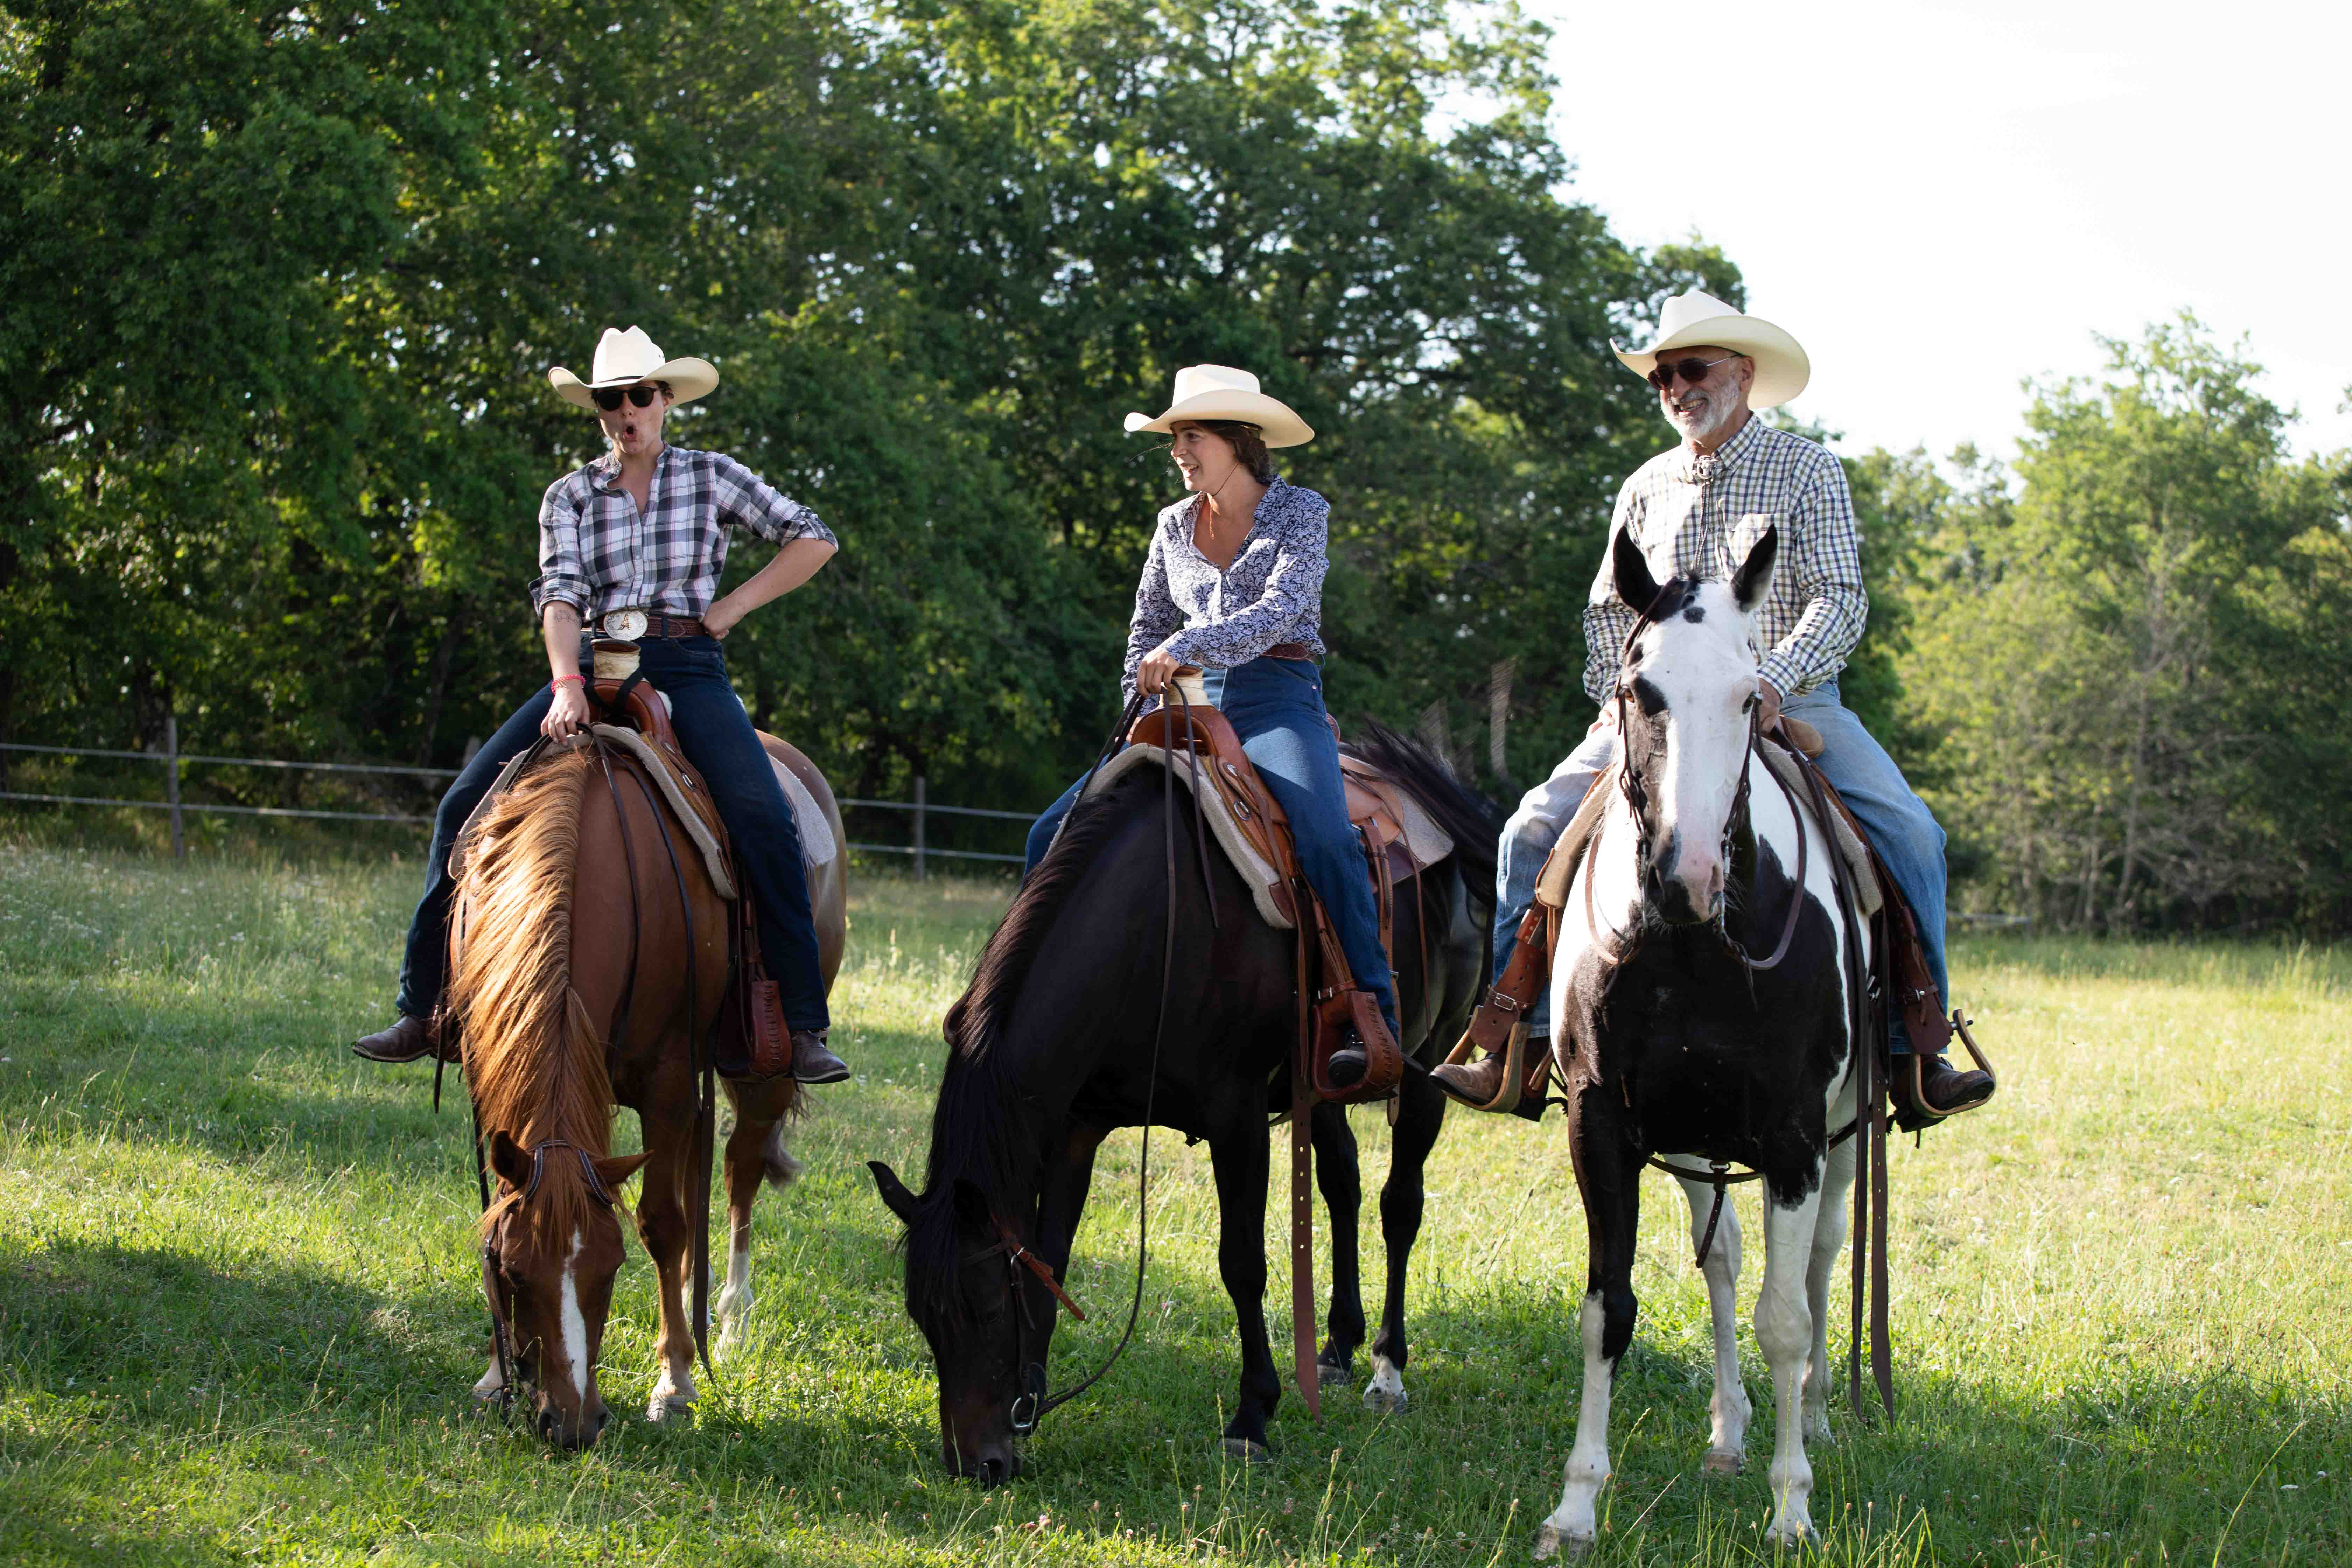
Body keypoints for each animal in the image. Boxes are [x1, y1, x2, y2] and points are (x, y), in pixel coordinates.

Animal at [449, 733, 847, 1448]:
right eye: (517, 1273)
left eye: (611, 1269)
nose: (573, 1426)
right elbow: (497, 1213)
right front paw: (495, 1374)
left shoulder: (666, 1084)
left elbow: (662, 1225)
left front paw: (677, 1384)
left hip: (763, 1075)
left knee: (739, 1172)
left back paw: (729, 1319)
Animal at [865, 724, 1486, 1485]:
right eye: (922, 1315)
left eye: (983, 1306)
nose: (975, 1464)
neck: (1153, 930)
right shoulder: (1077, 1125)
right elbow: (1051, 1256)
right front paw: (1033, 1399)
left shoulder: (1238, 1118)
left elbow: (1242, 1263)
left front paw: (1252, 1416)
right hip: (1324, 1088)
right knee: (1343, 1184)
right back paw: (1339, 1347)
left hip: (1427, 1062)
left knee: (1401, 1207)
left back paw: (1387, 1371)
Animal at [1533, 531, 1863, 1561]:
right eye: (1639, 689)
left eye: (1750, 697)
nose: (1691, 876)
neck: (1688, 950)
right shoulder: (1604, 1128)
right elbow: (1608, 1309)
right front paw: (1577, 1504)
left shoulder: (1797, 1140)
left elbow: (1786, 1320)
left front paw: (1793, 1509)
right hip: (1694, 1145)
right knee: (1720, 1262)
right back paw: (1726, 1431)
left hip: (1844, 1140)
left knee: (1821, 1261)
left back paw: (1819, 1415)